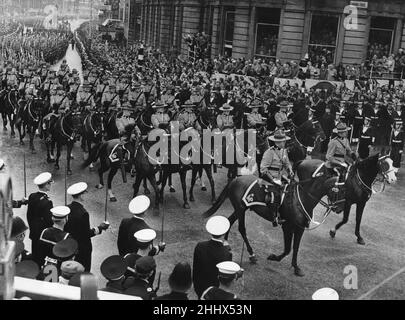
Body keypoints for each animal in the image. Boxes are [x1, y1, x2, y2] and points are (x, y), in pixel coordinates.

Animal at [202, 161, 344, 276]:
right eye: (339, 190)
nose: (339, 208)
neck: (302, 198)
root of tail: (235, 180)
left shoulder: (300, 228)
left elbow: (296, 248)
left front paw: (296, 267)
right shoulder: (287, 226)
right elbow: (287, 249)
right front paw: (274, 257)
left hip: (239, 210)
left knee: (229, 221)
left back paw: (226, 244)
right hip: (241, 210)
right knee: (241, 228)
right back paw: (251, 254)